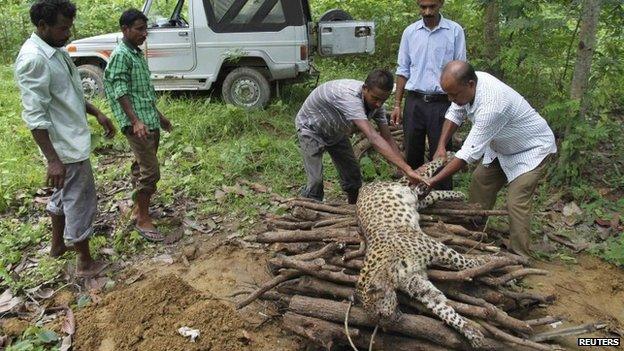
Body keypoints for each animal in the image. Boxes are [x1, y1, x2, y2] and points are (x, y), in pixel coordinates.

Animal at [356, 155, 488, 350]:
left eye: (380, 313)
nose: (391, 323)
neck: (388, 272)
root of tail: (364, 186)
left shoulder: (436, 247)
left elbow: (462, 261)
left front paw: (485, 261)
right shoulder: (416, 283)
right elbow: (443, 309)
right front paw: (470, 332)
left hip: (408, 181)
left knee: (426, 168)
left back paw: (447, 156)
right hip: (417, 199)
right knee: (432, 194)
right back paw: (457, 194)